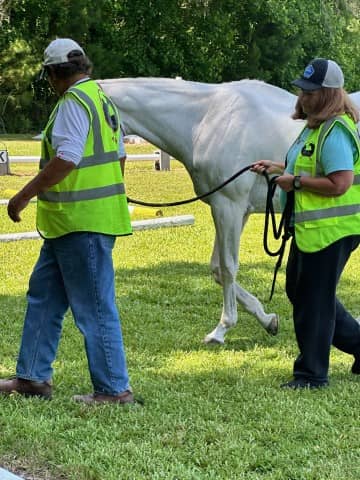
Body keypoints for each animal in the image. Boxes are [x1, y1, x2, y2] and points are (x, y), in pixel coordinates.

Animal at [97, 77, 358, 344]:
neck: (205, 120)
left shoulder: (228, 207)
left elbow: (228, 267)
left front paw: (222, 329)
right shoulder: (236, 212)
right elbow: (216, 268)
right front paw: (268, 319)